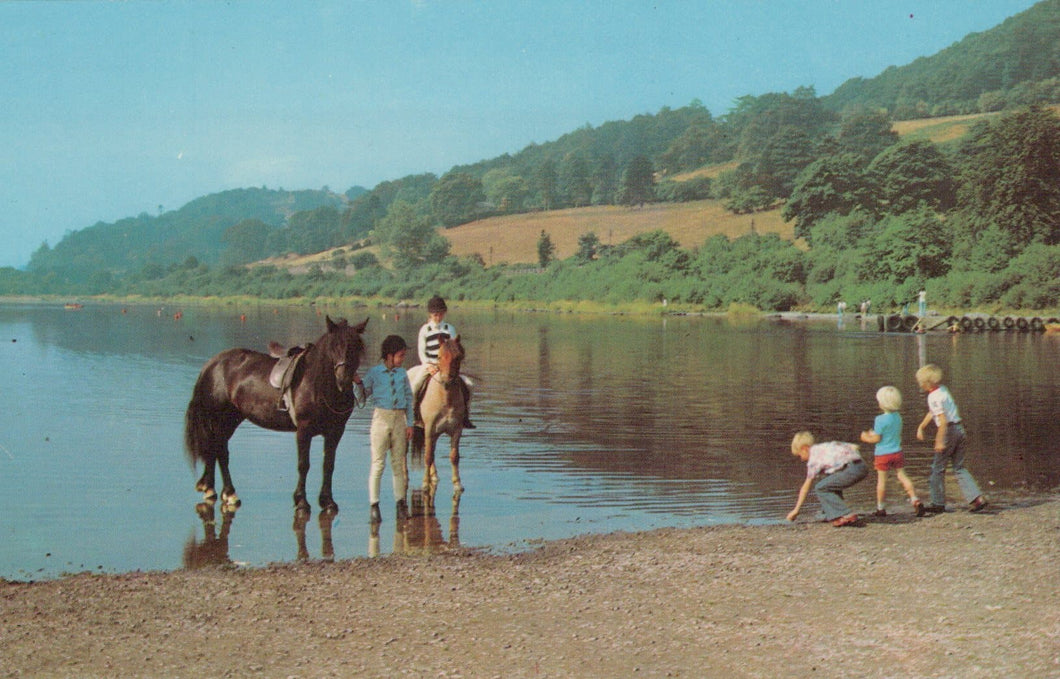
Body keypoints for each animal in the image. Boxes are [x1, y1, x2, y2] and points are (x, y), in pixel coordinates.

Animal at [184, 315, 368, 514]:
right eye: (333, 346)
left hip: (230, 420)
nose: (343, 381)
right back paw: (229, 493)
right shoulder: (304, 430)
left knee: (215, 449)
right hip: (217, 419)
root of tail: (212, 364)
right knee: (220, 452)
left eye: (356, 347)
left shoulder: (335, 431)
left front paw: (327, 501)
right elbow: (303, 465)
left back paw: (212, 489)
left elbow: (328, 465)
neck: (317, 384)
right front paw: (301, 501)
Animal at [416, 335, 467, 497]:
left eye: (458, 357)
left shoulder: (456, 430)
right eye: (438, 356)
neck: (445, 398)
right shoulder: (429, 429)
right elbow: (427, 456)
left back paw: (434, 476)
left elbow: (454, 456)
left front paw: (457, 484)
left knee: (431, 450)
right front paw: (425, 484)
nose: (446, 380)